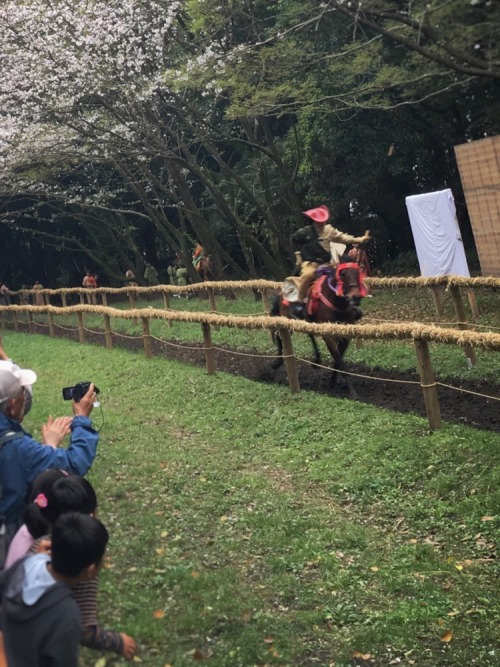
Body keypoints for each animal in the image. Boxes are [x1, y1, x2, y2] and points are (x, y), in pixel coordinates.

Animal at [270, 258, 368, 396]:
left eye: (358, 272)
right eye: (342, 274)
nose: (356, 297)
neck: (336, 303)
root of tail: (282, 293)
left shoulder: (345, 335)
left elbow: (338, 359)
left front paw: (332, 381)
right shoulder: (328, 335)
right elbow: (339, 359)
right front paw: (352, 391)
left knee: (309, 335)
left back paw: (316, 359)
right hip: (287, 320)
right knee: (280, 336)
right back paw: (276, 362)